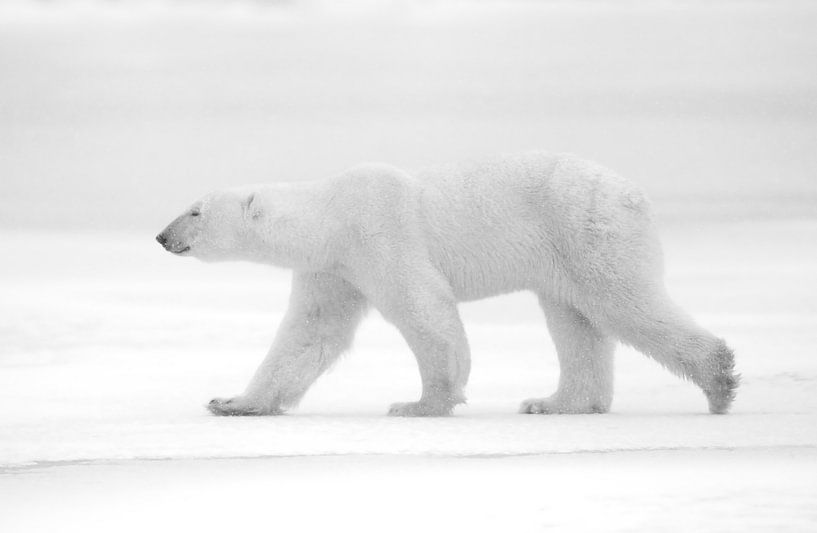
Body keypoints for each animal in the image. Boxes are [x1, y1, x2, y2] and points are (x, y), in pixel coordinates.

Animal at [156, 152, 736, 418]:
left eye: (195, 210)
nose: (161, 236)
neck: (331, 215)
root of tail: (634, 193)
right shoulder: (334, 270)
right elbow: (310, 335)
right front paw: (232, 402)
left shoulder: (379, 233)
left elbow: (425, 309)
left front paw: (418, 403)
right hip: (563, 255)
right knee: (575, 321)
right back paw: (554, 402)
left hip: (586, 229)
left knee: (622, 302)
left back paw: (719, 378)